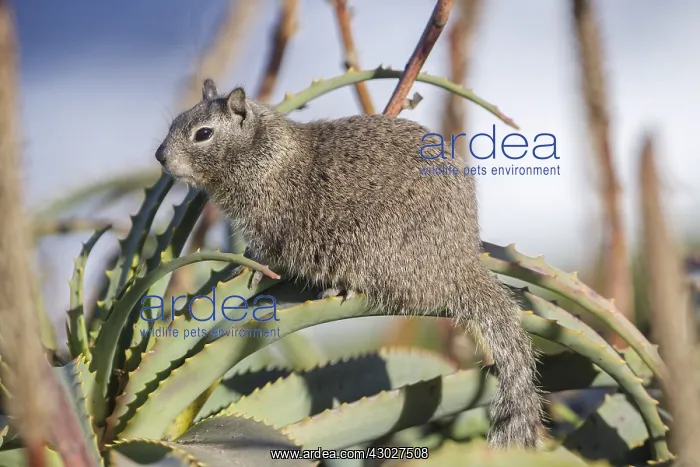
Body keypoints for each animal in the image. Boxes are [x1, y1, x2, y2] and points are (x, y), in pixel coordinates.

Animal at [155, 79, 544, 449]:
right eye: (173, 123)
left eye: (203, 134)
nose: (160, 156)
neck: (262, 152)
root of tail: (460, 264)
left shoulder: (272, 223)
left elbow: (265, 254)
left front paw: (246, 267)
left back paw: (344, 287)